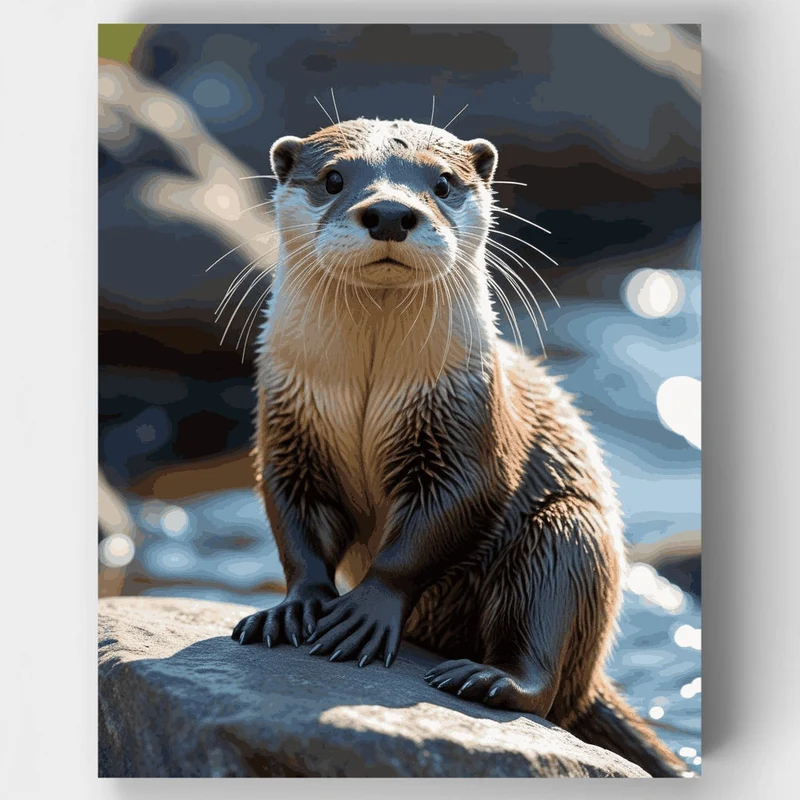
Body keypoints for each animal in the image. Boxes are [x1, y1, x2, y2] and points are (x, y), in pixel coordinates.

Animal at [230, 117, 686, 777]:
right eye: (334, 178)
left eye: (442, 182)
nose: (390, 212)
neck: (367, 386)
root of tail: (596, 676)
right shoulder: (290, 423)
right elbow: (295, 517)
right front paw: (294, 607)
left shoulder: (466, 429)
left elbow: (445, 518)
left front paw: (364, 614)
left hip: (567, 538)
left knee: (546, 668)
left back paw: (491, 680)